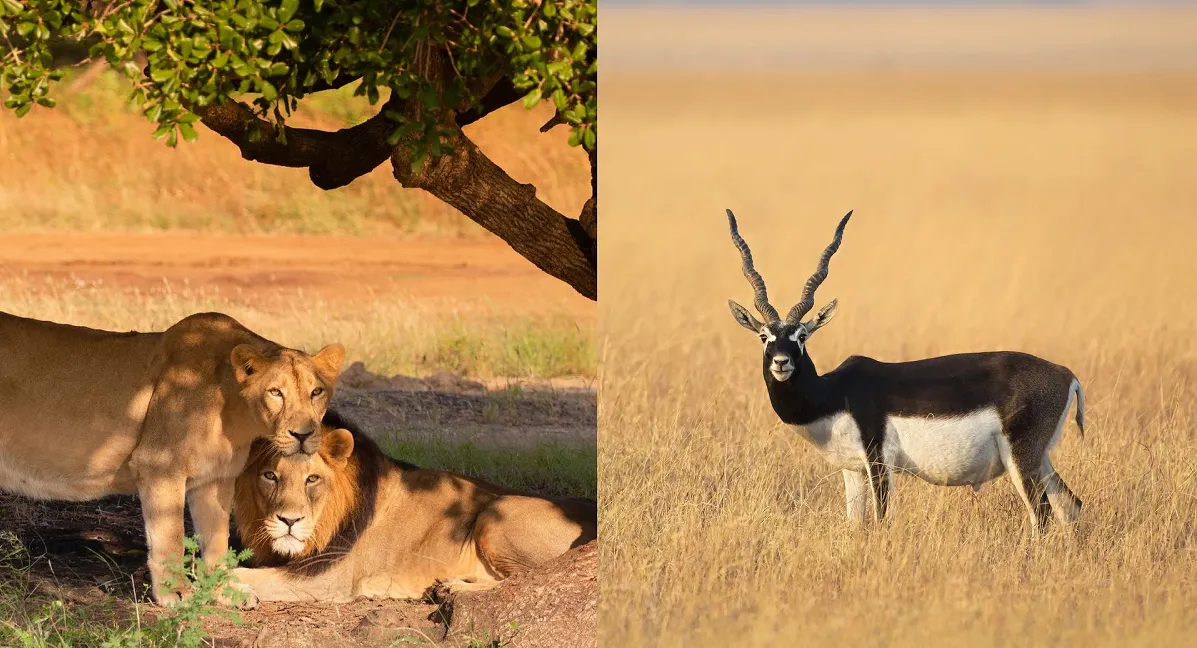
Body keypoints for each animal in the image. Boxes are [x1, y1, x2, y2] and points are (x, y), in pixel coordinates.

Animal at [0, 311, 347, 603]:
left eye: (316, 392)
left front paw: (222, 592)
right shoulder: (159, 465)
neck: (233, 408)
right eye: (275, 392)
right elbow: (171, 538)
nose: (303, 435)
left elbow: (216, 540)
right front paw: (175, 595)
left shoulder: (215, 479)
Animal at [227, 412, 593, 598]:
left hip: (497, 512)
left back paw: (451, 586)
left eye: (312, 479)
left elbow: (241, 574)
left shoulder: (329, 578)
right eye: (270, 476)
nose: (288, 520)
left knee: (530, 577)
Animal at [722, 210, 1091, 536]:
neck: (834, 394)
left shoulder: (879, 463)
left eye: (801, 336)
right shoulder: (852, 470)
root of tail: (1066, 375)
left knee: (1042, 514)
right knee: (1071, 506)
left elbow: (883, 521)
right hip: (1040, 458)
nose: (781, 362)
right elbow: (855, 526)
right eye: (764, 336)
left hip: (1021, 459)